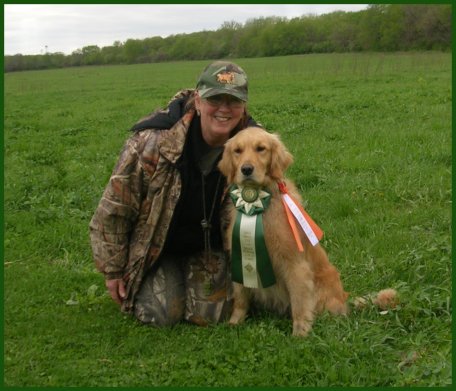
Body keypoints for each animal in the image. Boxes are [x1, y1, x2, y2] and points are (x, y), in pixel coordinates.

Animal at [217, 128, 350, 336]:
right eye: (237, 151)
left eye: (261, 148)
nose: (246, 169)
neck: (259, 208)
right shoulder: (238, 260)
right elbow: (240, 297)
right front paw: (235, 322)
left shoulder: (295, 264)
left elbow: (300, 302)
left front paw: (300, 332)